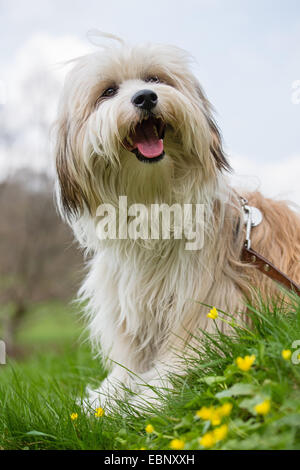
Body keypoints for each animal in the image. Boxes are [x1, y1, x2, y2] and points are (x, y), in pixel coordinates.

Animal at [54, 35, 300, 412]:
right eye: (108, 91)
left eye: (155, 79)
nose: (145, 97)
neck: (153, 205)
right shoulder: (132, 316)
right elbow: (126, 368)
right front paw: (104, 401)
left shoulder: (207, 309)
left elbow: (181, 359)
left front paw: (145, 401)